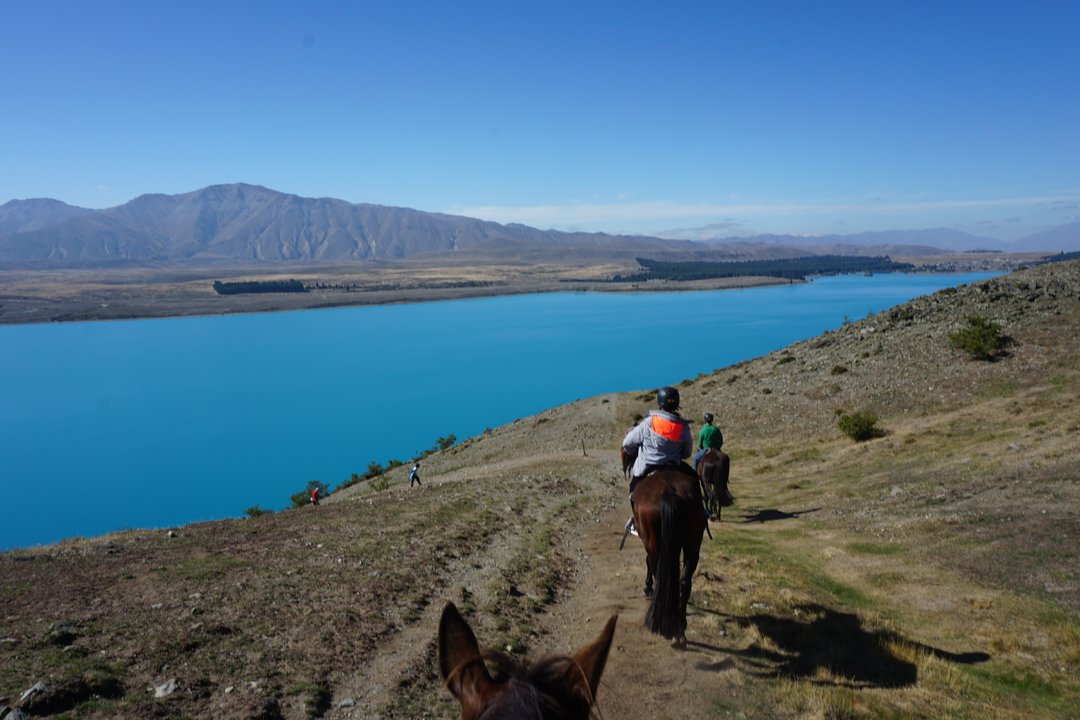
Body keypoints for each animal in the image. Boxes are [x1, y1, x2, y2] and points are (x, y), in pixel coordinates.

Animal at [630, 468, 708, 647]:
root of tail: (669, 490)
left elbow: (647, 562)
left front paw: (647, 587)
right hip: (692, 545)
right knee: (684, 582)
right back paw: (679, 629)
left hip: (652, 542)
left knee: (658, 573)